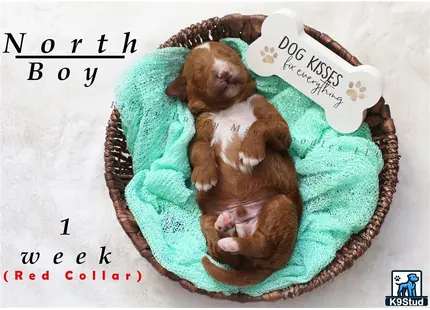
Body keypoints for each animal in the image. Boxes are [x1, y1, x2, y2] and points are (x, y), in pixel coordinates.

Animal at [165, 40, 302, 286]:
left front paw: (249, 152)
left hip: (281, 204)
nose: (224, 73)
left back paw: (232, 237)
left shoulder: (277, 126)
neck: (228, 107)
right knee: (224, 253)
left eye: (228, 55)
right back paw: (226, 229)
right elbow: (200, 150)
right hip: (206, 219)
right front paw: (204, 177)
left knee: (260, 244)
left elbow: (263, 125)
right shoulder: (199, 134)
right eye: (200, 71)